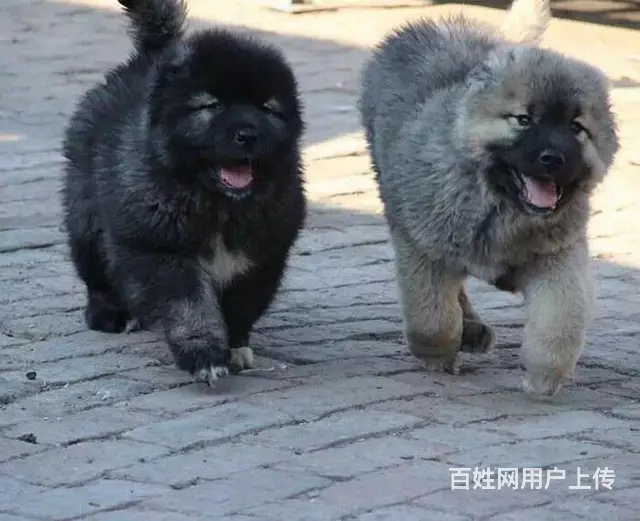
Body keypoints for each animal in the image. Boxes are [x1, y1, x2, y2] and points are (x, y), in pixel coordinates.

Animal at [61, 0, 306, 385]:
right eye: (212, 105)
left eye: (268, 109)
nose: (248, 134)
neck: (217, 205)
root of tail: (152, 58)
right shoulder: (161, 250)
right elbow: (189, 304)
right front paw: (203, 353)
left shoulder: (263, 257)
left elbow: (241, 305)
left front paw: (235, 347)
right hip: (85, 217)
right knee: (95, 272)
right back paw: (109, 315)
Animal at [358, 0, 619, 396]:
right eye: (523, 120)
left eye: (577, 128)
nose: (554, 158)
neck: (498, 204)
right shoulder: (422, 248)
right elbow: (432, 316)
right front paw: (439, 357)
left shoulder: (557, 257)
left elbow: (560, 316)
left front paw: (545, 376)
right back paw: (469, 331)